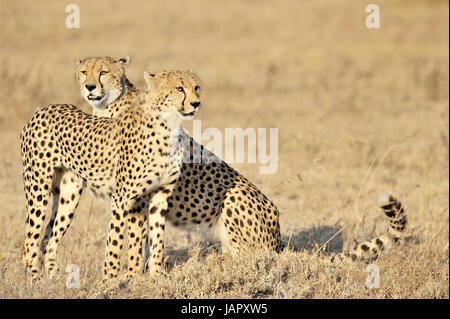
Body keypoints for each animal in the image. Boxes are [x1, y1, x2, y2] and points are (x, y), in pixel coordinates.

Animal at [22, 70, 201, 280]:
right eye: (179, 88)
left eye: (196, 87)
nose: (196, 103)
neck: (168, 127)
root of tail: (44, 109)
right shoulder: (123, 197)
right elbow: (116, 239)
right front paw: (110, 279)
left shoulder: (159, 196)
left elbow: (156, 239)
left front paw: (156, 275)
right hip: (38, 189)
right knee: (30, 240)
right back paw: (34, 278)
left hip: (69, 196)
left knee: (49, 241)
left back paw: (53, 279)